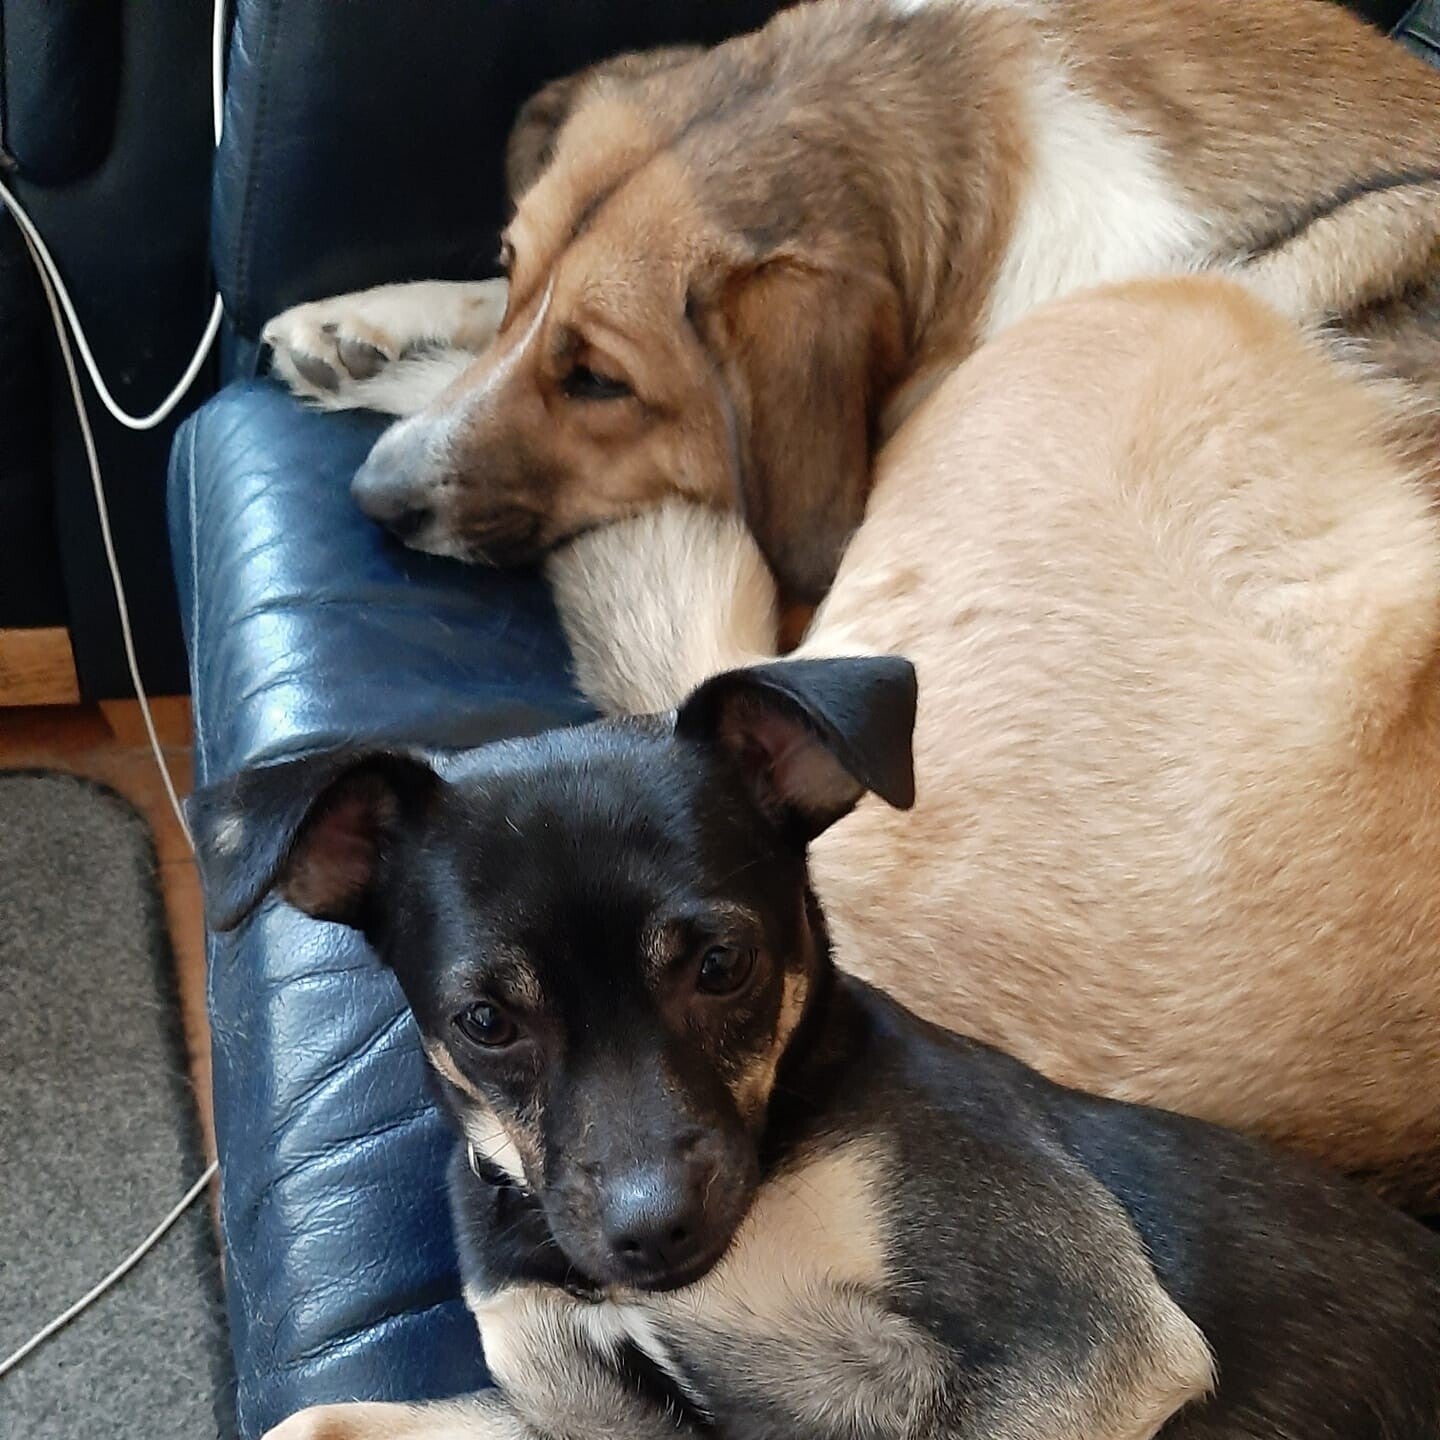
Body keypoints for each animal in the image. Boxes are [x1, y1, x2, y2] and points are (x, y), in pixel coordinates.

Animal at [191, 654, 1440, 1440]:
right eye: (485, 1022)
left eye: (720, 966)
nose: (651, 1233)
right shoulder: (581, 1406)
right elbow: (316, 1417)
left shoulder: (1085, 1344)